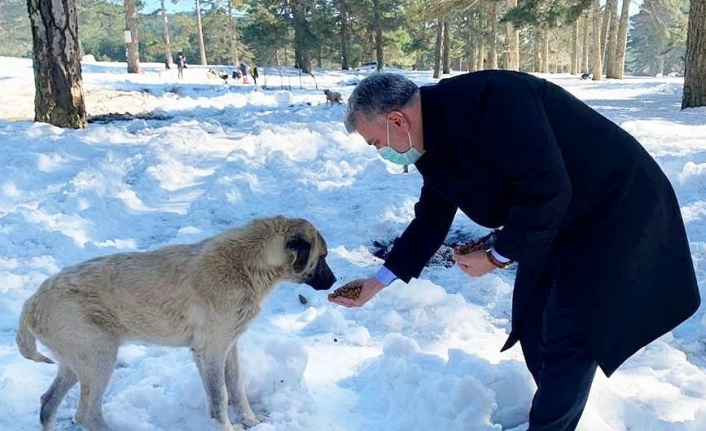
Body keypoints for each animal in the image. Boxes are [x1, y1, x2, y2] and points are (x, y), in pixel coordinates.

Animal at [16, 218, 336, 431]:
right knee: (86, 414)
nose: (334, 281)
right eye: (322, 257)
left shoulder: (227, 347)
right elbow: (220, 398)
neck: (244, 266)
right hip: (99, 358)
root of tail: (31, 303)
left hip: (75, 364)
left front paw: (251, 421)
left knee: (47, 403)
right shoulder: (211, 351)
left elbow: (236, 387)